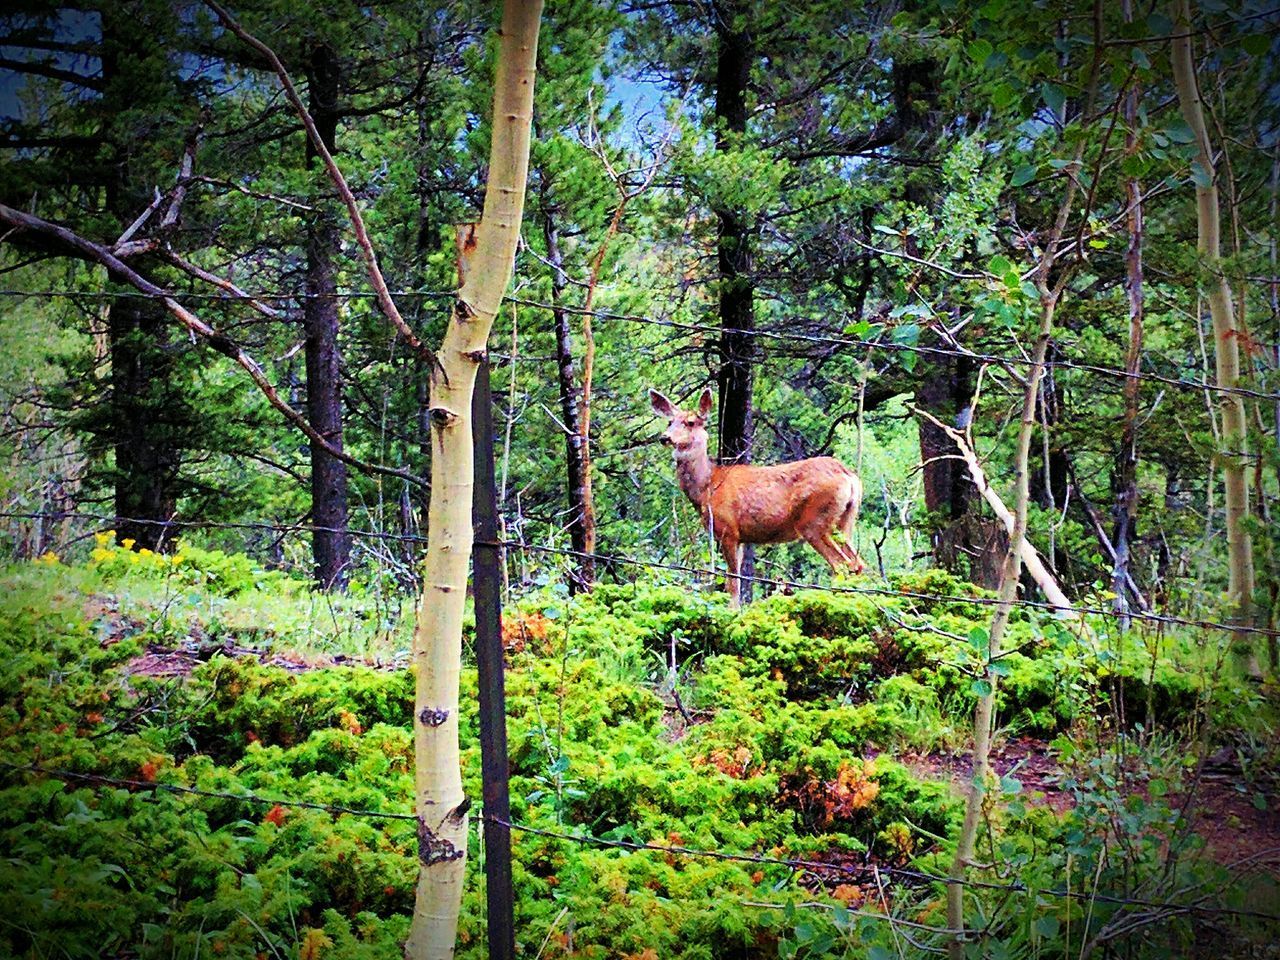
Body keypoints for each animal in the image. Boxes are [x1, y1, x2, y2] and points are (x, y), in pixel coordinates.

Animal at [650, 386, 870, 604]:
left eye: (690, 422)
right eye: (670, 421)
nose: (665, 437)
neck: (708, 487)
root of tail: (849, 476)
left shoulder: (728, 529)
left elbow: (733, 582)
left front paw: (733, 610)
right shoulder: (740, 537)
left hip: (814, 521)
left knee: (842, 565)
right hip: (845, 521)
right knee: (858, 563)